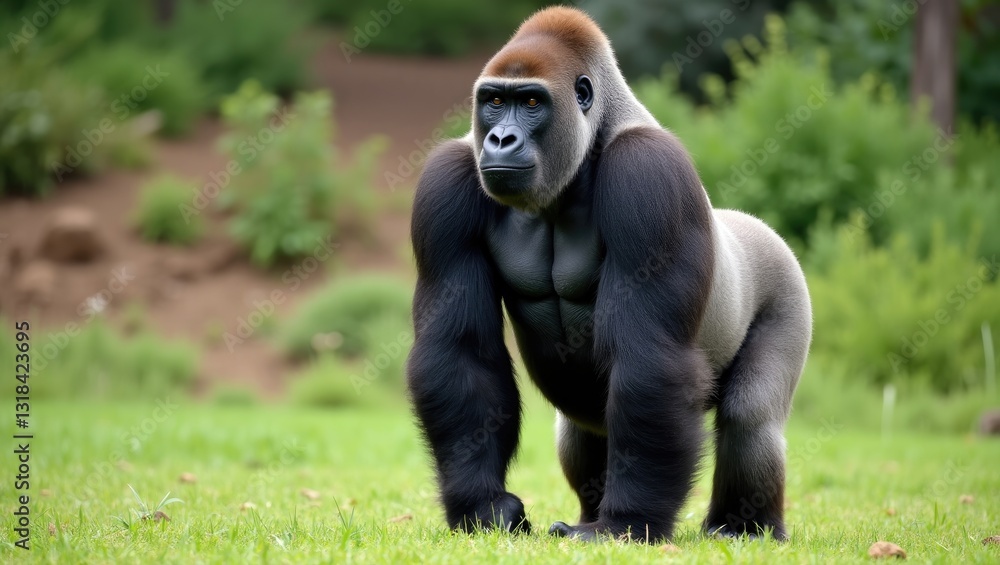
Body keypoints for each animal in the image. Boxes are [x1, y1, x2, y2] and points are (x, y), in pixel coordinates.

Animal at [406, 6, 812, 543]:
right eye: (493, 101)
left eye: (531, 102)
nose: (500, 139)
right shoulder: (447, 179)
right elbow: (460, 351)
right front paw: (483, 507)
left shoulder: (649, 172)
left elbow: (649, 357)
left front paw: (627, 523)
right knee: (581, 430)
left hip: (786, 283)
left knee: (750, 417)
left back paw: (743, 527)